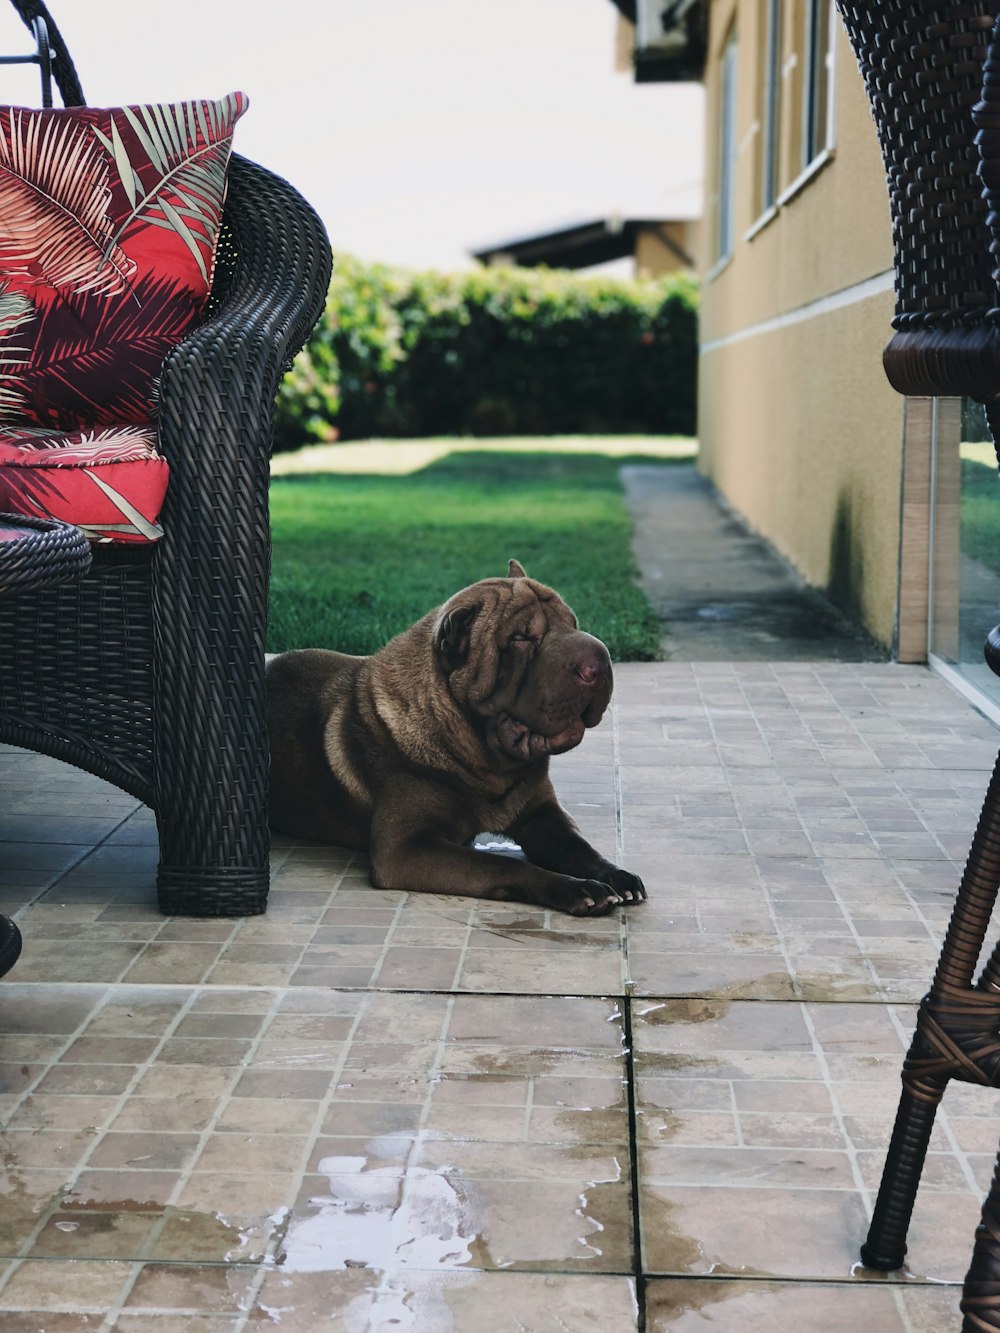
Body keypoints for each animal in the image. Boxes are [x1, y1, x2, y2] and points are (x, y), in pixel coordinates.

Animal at [266, 559, 645, 917]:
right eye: (521, 639)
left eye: (573, 622)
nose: (599, 660)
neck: (487, 762)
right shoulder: (405, 849)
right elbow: (502, 864)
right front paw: (578, 888)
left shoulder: (543, 814)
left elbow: (578, 847)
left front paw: (615, 875)